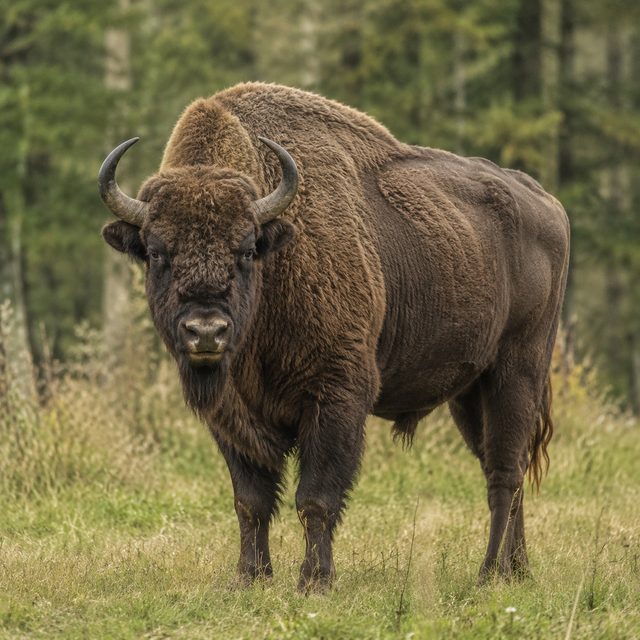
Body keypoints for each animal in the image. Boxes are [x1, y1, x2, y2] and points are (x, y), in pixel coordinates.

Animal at [99, 82, 569, 591]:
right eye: (156, 252)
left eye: (246, 249)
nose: (206, 331)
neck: (278, 258)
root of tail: (547, 203)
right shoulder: (233, 417)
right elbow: (251, 502)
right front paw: (251, 577)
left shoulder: (336, 398)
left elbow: (315, 499)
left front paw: (314, 581)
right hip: (469, 391)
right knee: (503, 469)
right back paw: (516, 569)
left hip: (517, 372)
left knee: (504, 473)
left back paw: (487, 574)